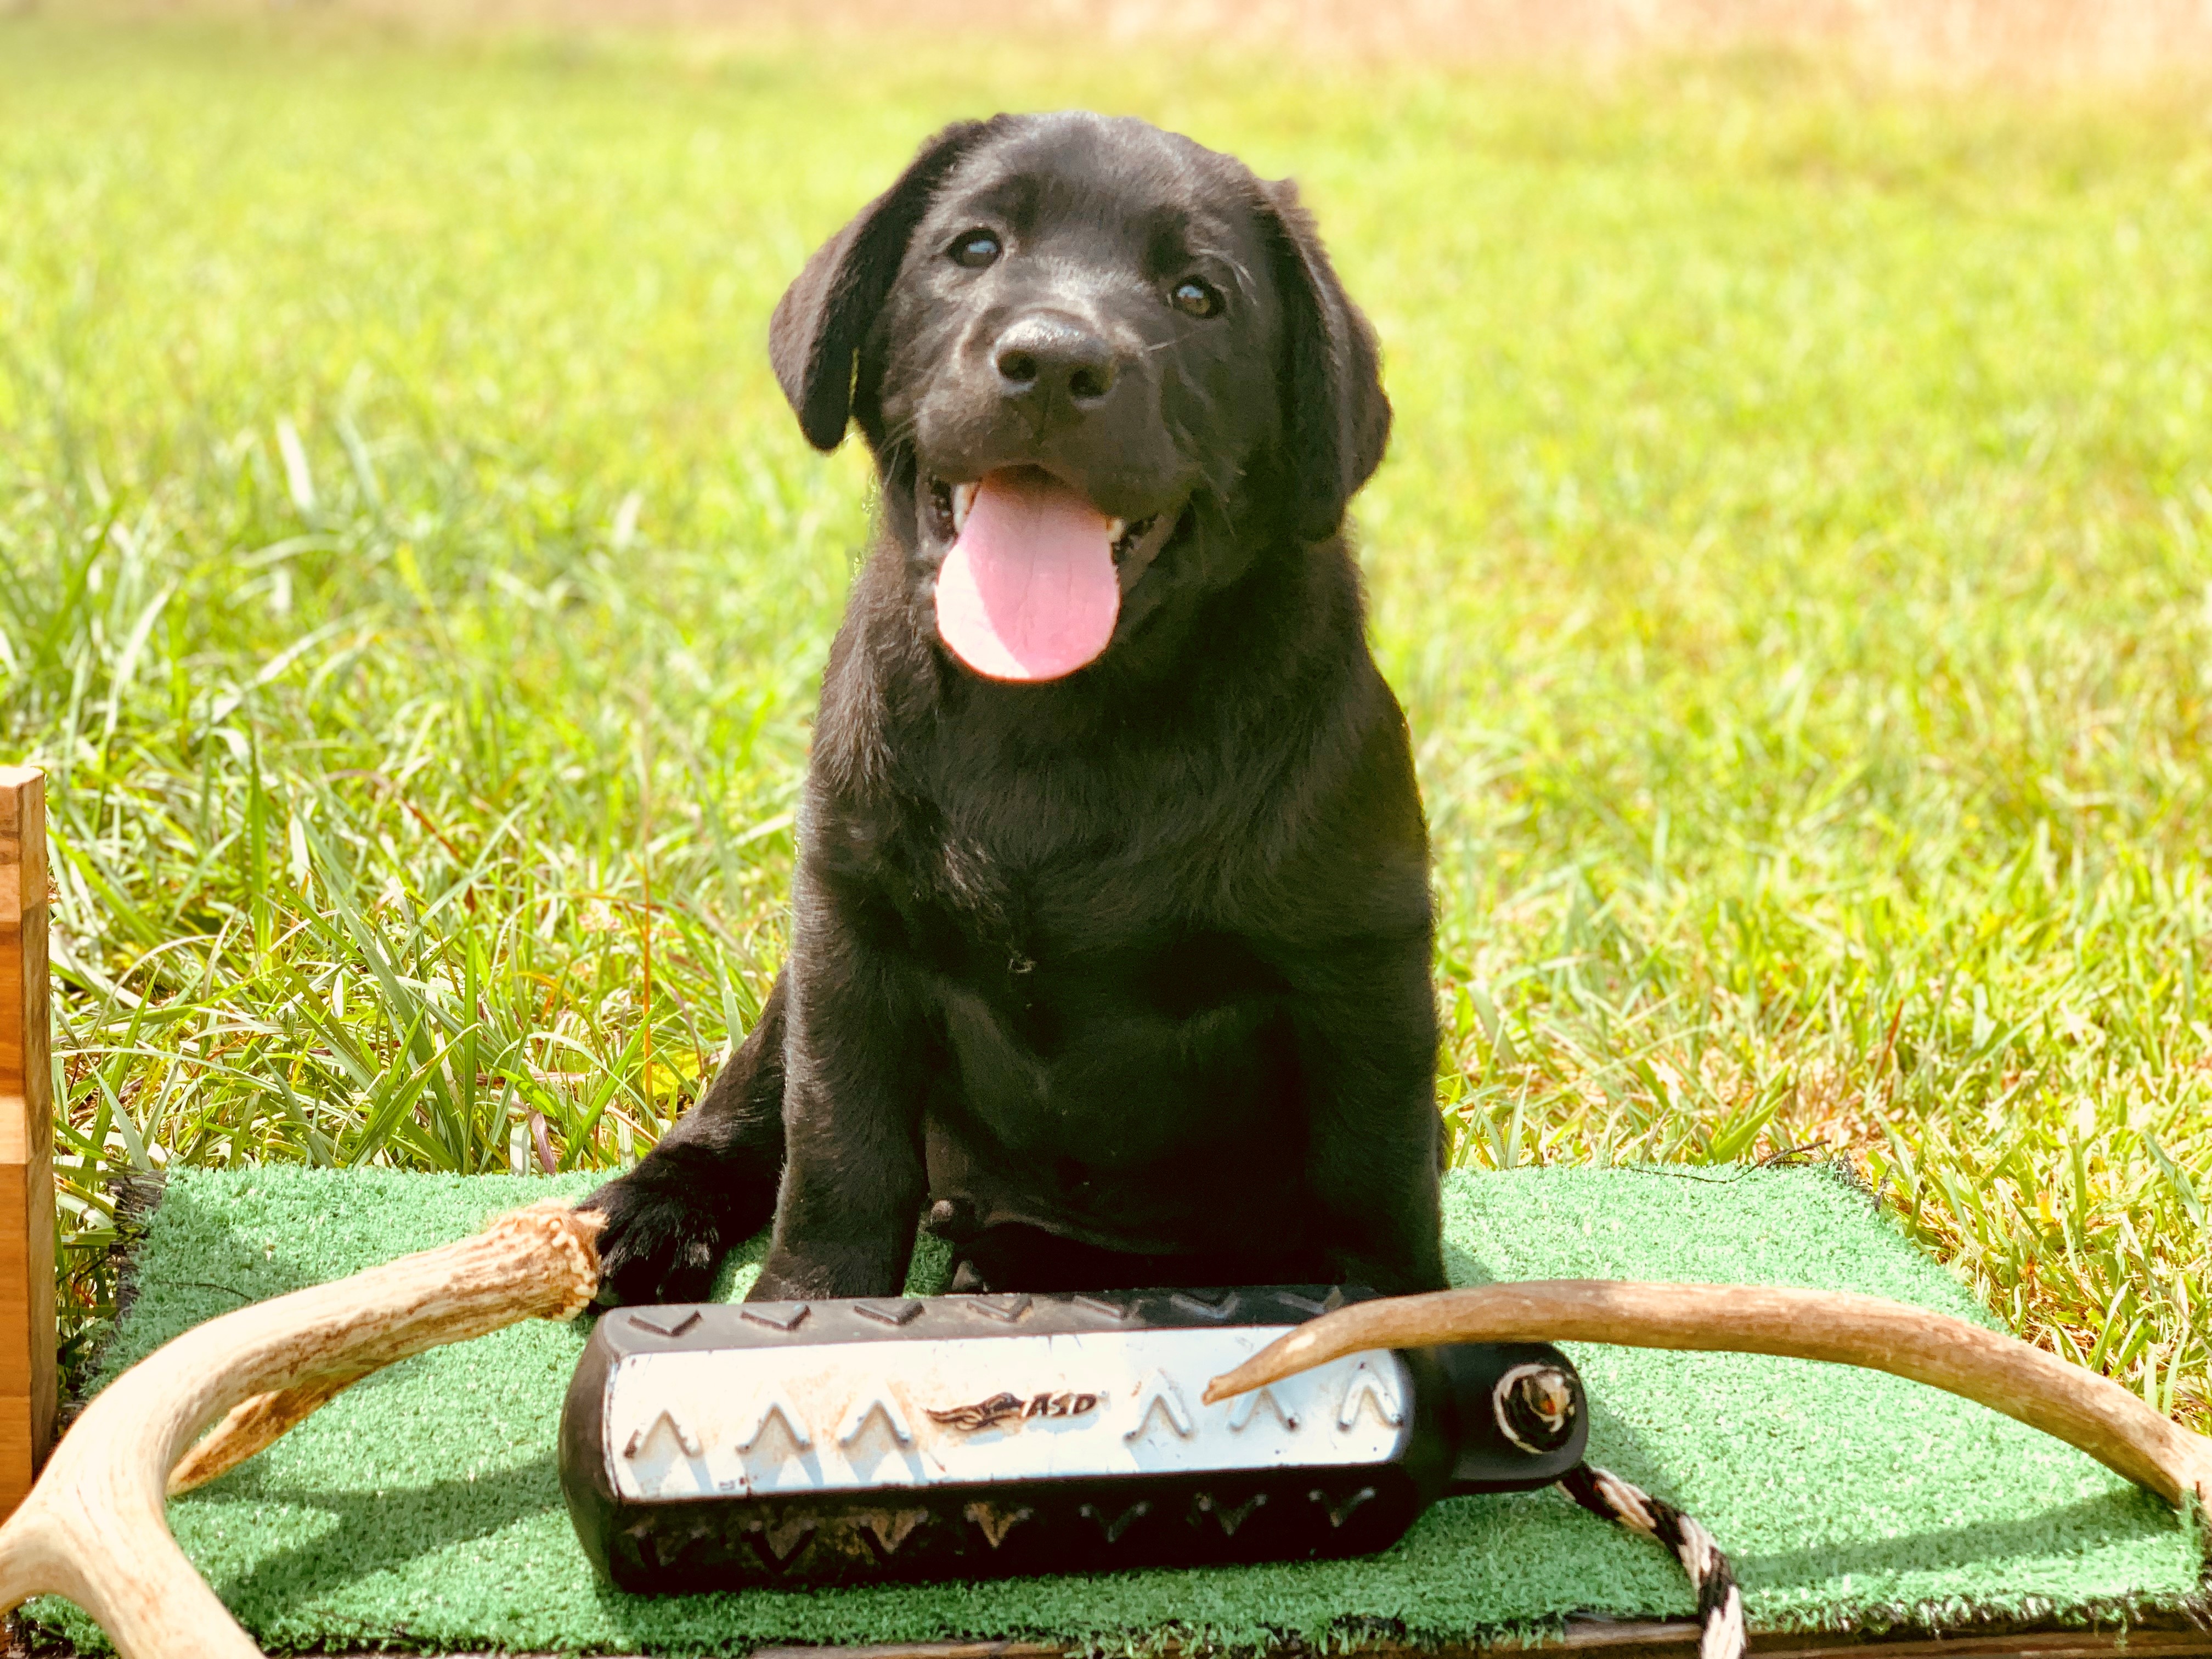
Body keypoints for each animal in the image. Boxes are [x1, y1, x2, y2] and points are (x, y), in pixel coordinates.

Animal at [588, 114, 1451, 1309]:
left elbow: (1373, 1187)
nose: (1052, 362)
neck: (1058, 714)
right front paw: (806, 1303)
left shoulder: (1359, 969)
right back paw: (653, 1212)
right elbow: (838, 1148)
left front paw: (1401, 1320)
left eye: (1198, 296)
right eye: (975, 248)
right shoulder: (848, 933)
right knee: (750, 1108)